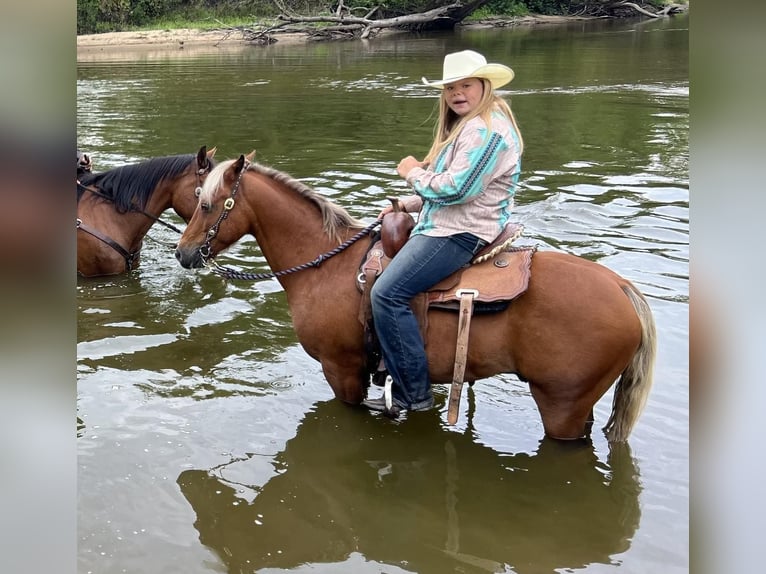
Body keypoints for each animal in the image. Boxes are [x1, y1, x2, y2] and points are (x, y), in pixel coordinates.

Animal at [177, 155, 656, 444]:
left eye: (208, 204)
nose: (183, 253)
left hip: (562, 406)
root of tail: (620, 287)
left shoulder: (342, 370)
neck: (324, 266)